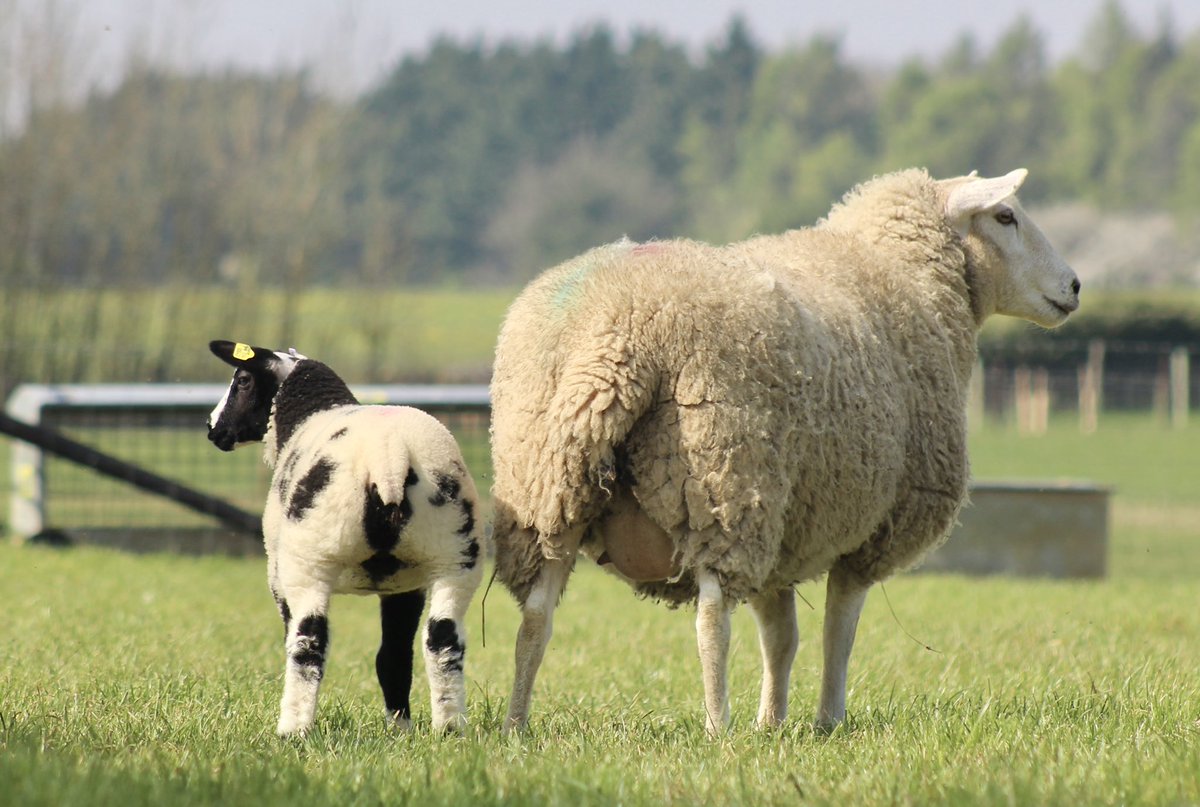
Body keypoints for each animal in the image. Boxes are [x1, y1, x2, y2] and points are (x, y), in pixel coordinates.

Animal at [206, 340, 484, 736]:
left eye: (242, 380)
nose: (212, 428)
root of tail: (390, 458)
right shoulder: (405, 585)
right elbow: (393, 656)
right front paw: (399, 728)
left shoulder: (278, 577)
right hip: (454, 555)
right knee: (442, 640)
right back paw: (448, 728)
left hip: (310, 560)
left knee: (309, 643)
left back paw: (293, 729)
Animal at [489, 167, 1080, 735]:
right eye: (1005, 216)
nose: (1074, 285)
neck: (905, 276)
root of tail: (614, 330)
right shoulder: (869, 531)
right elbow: (838, 631)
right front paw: (827, 720)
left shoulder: (785, 532)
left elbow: (781, 636)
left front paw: (772, 722)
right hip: (724, 479)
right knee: (711, 619)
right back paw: (717, 727)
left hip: (550, 484)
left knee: (535, 618)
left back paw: (517, 725)